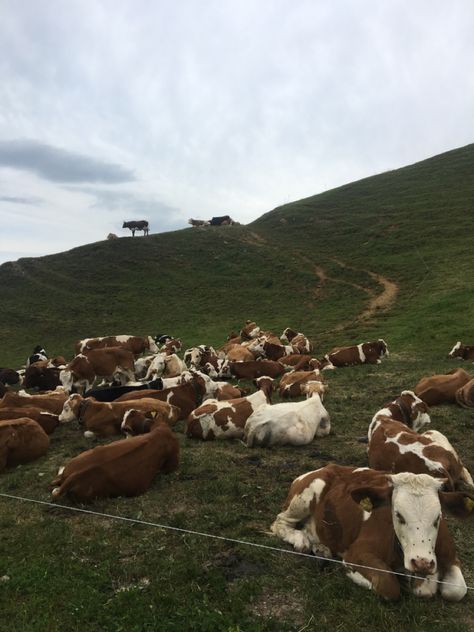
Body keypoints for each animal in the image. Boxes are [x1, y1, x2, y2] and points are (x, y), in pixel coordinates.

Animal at [272, 464, 472, 604]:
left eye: (438, 517)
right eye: (398, 514)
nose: (422, 562)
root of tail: (327, 467)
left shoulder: (450, 555)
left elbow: (456, 590)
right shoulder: (358, 551)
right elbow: (387, 585)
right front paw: (353, 573)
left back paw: (321, 549)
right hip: (308, 494)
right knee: (279, 522)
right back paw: (301, 541)